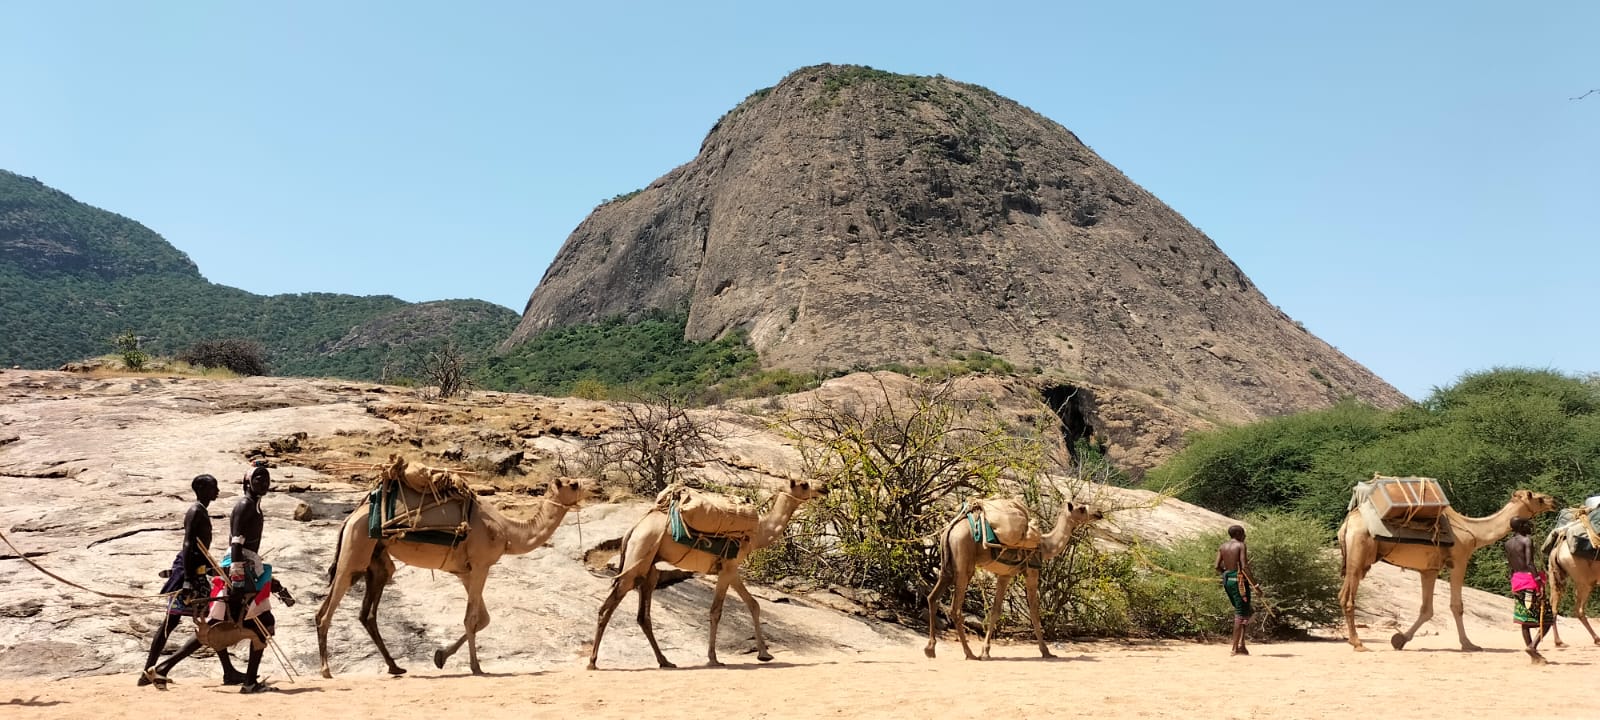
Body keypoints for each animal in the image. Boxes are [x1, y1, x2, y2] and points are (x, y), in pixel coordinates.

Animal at [315, 457, 585, 678]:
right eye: (572, 484)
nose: (588, 486)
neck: (508, 533)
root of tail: (350, 518)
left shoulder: (465, 572)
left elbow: (483, 619)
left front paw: (440, 657)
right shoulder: (481, 565)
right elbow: (472, 619)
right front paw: (476, 667)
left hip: (376, 558)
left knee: (366, 611)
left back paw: (395, 667)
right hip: (356, 548)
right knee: (329, 608)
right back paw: (327, 670)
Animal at [595, 476, 832, 668]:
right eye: (803, 484)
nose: (825, 487)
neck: (757, 534)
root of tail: (633, 530)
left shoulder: (731, 569)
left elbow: (753, 604)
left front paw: (764, 654)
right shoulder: (728, 568)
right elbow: (716, 611)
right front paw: (714, 658)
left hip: (648, 567)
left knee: (642, 614)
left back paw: (665, 661)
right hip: (640, 554)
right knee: (610, 602)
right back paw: (593, 662)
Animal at [928, 499, 1100, 662]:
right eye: (1081, 508)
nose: (1098, 513)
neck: (1045, 546)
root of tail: (950, 529)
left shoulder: (1005, 574)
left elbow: (995, 611)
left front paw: (986, 651)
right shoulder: (1032, 571)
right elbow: (1034, 611)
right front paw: (1046, 652)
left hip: (947, 566)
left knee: (932, 597)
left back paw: (930, 649)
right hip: (964, 564)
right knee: (955, 609)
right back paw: (969, 654)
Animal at [1331, 489, 1555, 652]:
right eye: (1537, 497)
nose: (1553, 500)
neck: (1473, 532)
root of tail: (1347, 525)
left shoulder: (1428, 569)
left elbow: (1426, 609)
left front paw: (1400, 639)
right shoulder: (1459, 560)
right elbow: (1457, 606)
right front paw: (1469, 644)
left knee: (1342, 595)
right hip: (1358, 556)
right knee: (1348, 597)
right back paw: (1358, 644)